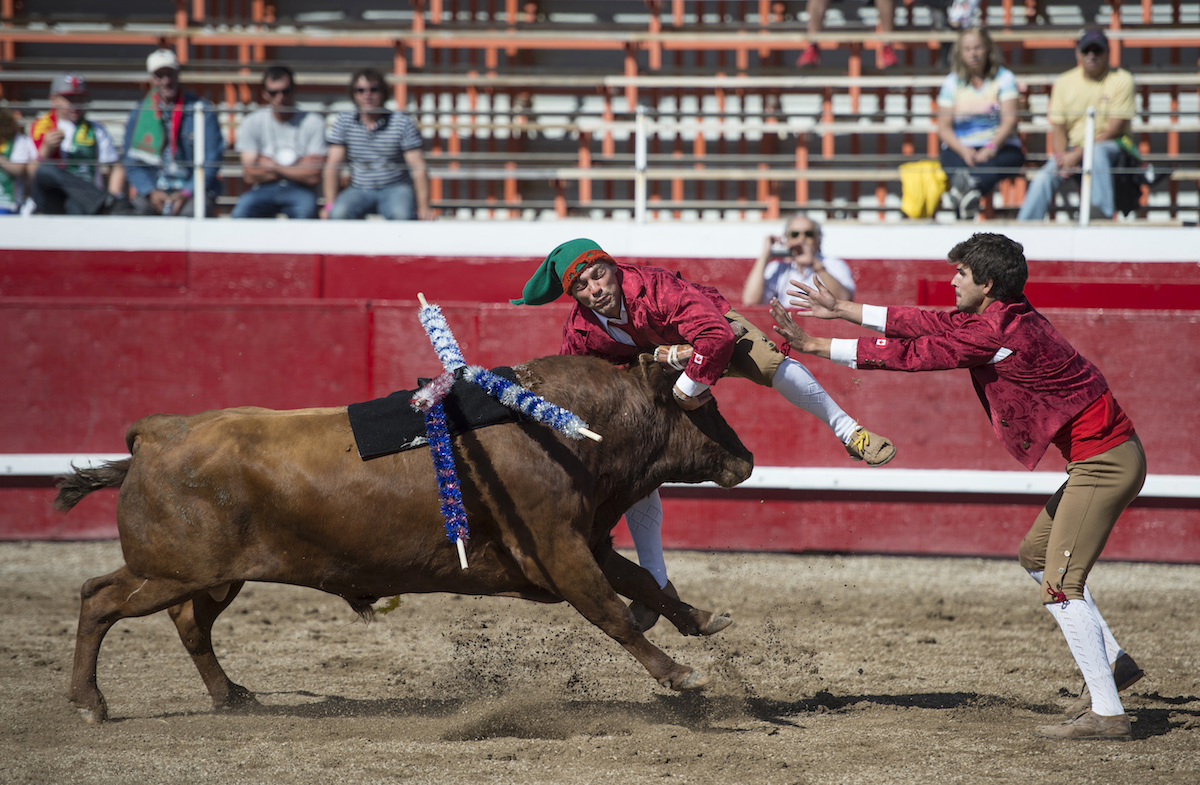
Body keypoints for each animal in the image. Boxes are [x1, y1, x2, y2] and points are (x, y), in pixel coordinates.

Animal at [58, 357, 748, 724]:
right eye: (705, 404)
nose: (744, 460)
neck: (567, 427)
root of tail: (158, 433)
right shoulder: (557, 551)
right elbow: (613, 611)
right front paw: (681, 674)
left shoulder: (587, 542)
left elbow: (644, 583)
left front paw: (701, 620)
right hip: (170, 570)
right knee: (99, 598)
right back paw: (90, 704)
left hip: (215, 575)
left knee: (189, 623)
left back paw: (232, 696)